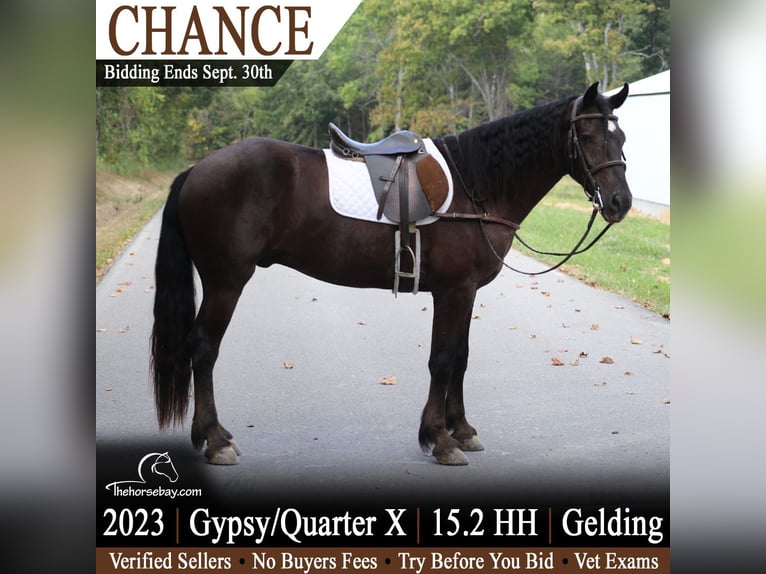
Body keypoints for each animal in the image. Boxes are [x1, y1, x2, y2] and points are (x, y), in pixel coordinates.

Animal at [150, 82, 632, 466]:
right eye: (587, 135)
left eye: (621, 136)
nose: (620, 202)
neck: (476, 185)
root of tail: (197, 169)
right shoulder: (453, 292)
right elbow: (442, 359)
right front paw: (440, 440)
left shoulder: (467, 292)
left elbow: (460, 357)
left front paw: (462, 430)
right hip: (226, 282)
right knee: (203, 348)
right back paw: (215, 441)